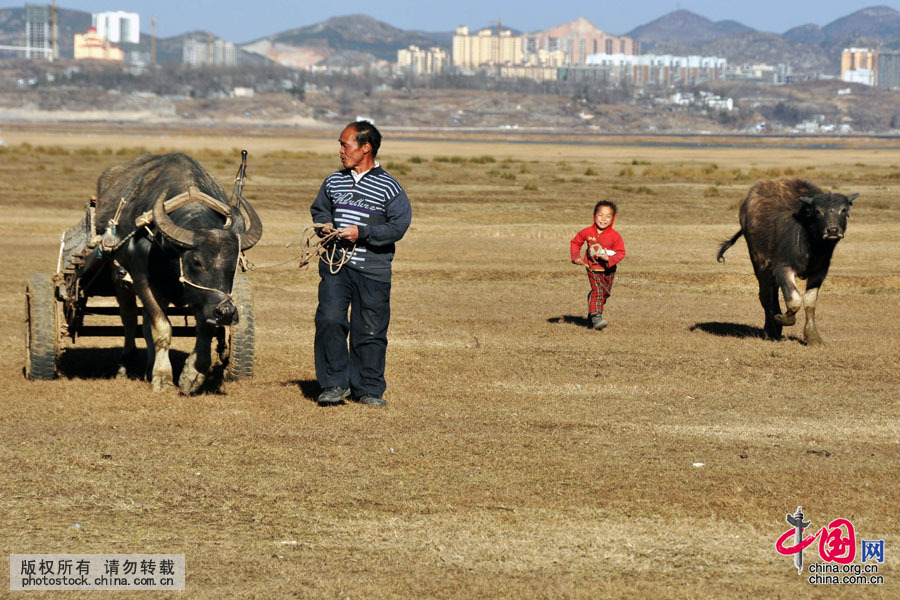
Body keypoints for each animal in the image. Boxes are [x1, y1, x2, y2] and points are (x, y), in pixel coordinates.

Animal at [96, 152, 262, 392]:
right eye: (197, 261)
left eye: (232, 265)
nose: (226, 312)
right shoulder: (144, 282)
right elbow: (162, 328)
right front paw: (163, 378)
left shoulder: (205, 301)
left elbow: (205, 330)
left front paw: (192, 375)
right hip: (118, 275)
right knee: (129, 318)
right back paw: (126, 364)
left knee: (144, 324)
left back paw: (148, 367)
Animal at [716, 178, 856, 344]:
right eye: (818, 211)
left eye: (844, 210)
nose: (832, 230)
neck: (811, 244)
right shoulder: (783, 267)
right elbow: (794, 299)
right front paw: (783, 319)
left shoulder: (819, 271)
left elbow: (810, 302)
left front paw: (812, 336)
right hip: (760, 264)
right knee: (766, 297)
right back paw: (771, 330)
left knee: (774, 294)